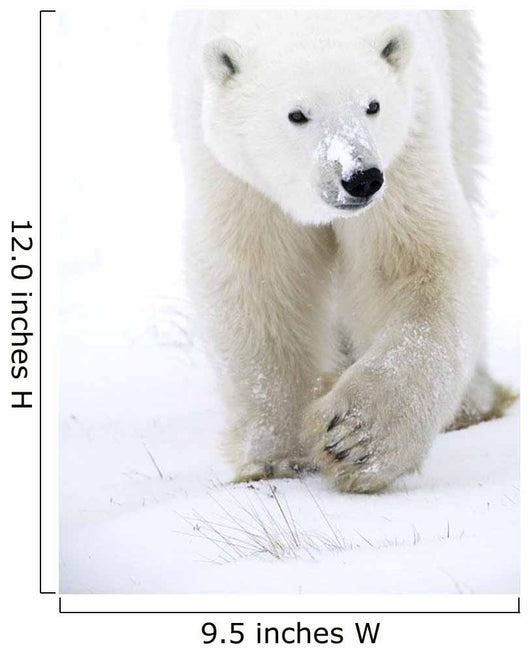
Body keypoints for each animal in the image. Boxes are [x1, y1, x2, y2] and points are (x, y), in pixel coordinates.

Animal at [174, 10, 515, 493]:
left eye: (372, 105)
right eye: (297, 114)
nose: (360, 178)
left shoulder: (405, 149)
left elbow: (415, 267)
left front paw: (353, 441)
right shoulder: (239, 179)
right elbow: (259, 285)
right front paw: (276, 458)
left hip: (459, 60)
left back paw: (473, 401)